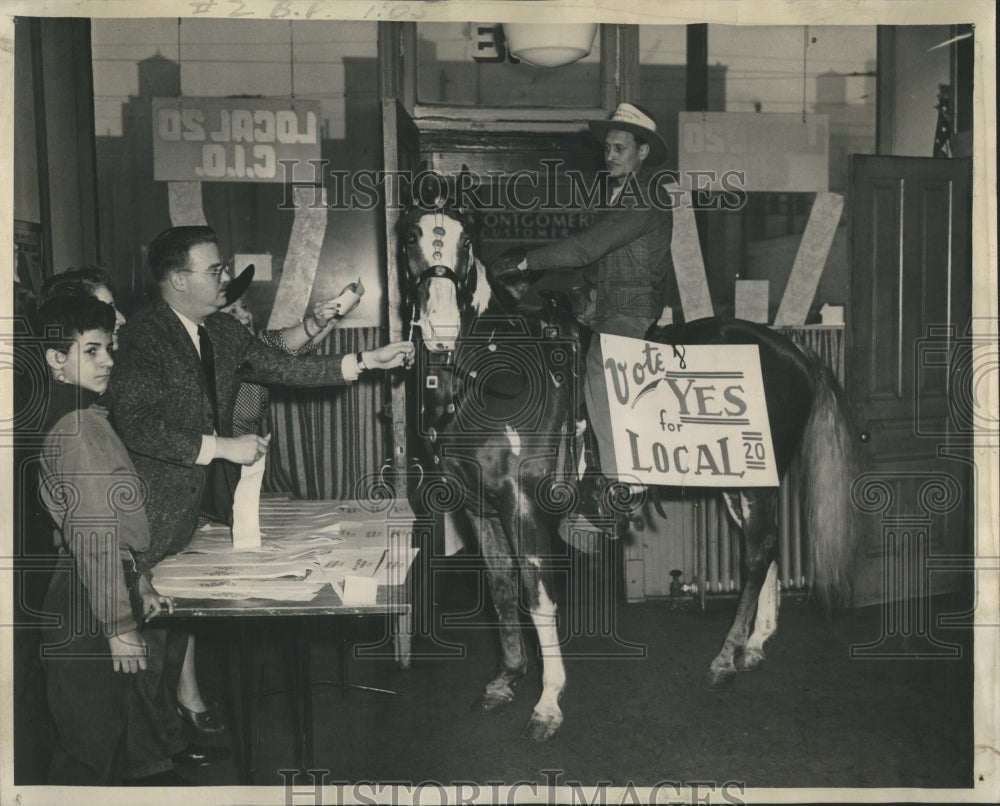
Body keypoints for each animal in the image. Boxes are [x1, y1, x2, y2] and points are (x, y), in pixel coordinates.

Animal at [396, 177, 860, 744]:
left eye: (465, 240)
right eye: (411, 234)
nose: (439, 324)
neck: (494, 369)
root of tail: (793, 352)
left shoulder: (522, 507)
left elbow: (537, 597)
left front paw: (547, 703)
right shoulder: (480, 508)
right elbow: (503, 591)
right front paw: (505, 681)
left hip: (752, 486)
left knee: (755, 556)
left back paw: (725, 659)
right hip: (742, 485)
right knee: (767, 548)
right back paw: (753, 646)